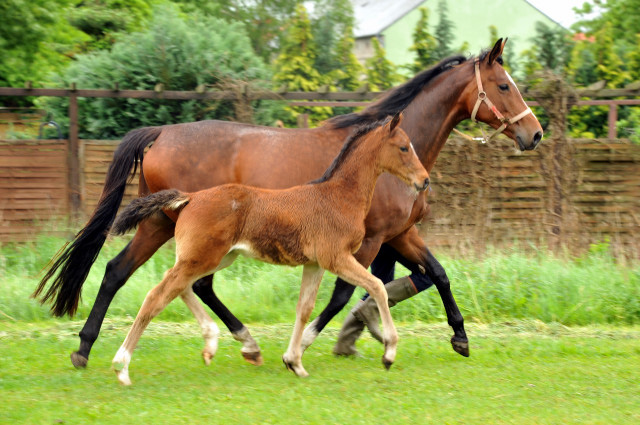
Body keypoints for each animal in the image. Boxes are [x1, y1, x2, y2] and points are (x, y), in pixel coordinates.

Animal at [110, 113, 430, 384]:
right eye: (404, 147)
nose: (424, 180)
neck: (338, 195)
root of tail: (191, 197)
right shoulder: (336, 258)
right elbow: (377, 287)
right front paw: (389, 353)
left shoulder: (314, 264)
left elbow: (304, 308)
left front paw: (294, 362)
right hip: (203, 257)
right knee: (158, 295)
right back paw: (122, 366)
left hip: (215, 258)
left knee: (180, 286)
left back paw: (211, 344)